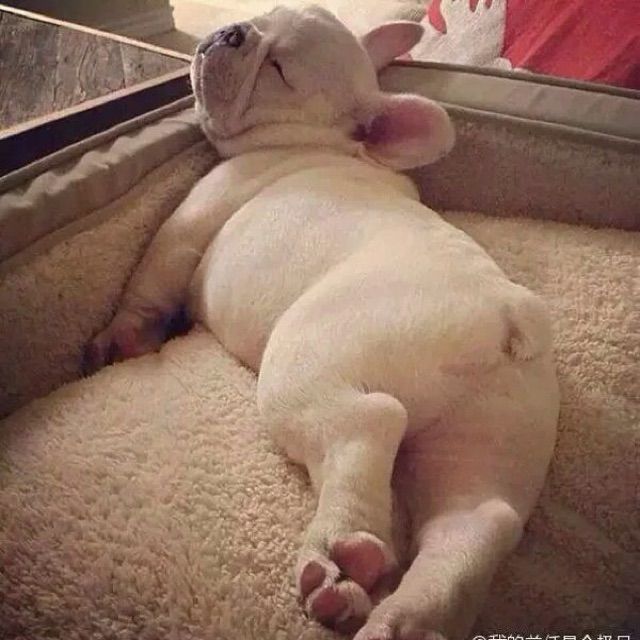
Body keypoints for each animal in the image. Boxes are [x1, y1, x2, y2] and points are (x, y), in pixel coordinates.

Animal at [86, 6, 559, 639]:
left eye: (278, 70)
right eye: (262, 18)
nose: (230, 31)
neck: (325, 145)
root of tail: (509, 310)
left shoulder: (194, 216)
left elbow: (152, 274)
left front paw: (120, 341)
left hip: (309, 356)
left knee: (367, 422)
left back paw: (339, 556)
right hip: (494, 433)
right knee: (473, 521)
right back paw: (403, 617)